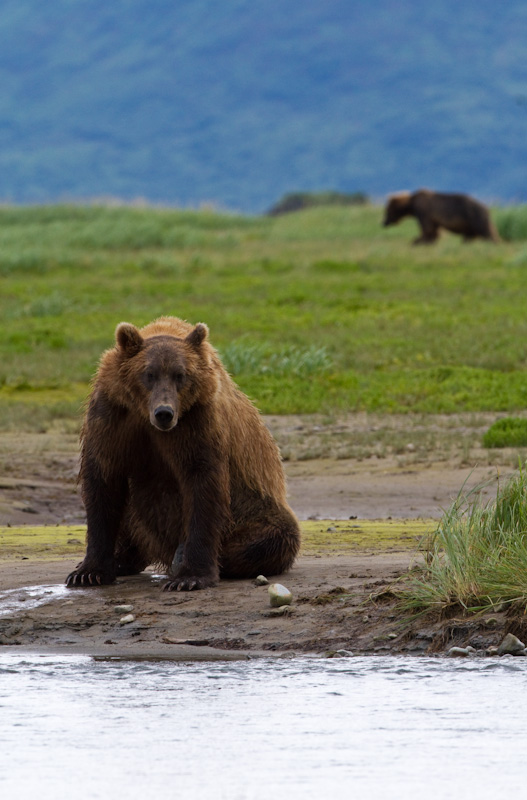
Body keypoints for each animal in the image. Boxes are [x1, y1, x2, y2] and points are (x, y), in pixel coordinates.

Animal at [65, 316, 302, 592]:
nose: (164, 413)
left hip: (256, 510)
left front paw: (189, 576)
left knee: (270, 538)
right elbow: (103, 481)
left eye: (180, 375)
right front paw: (88, 572)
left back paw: (179, 556)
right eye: (149, 374)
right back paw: (123, 558)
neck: (144, 414)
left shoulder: (197, 420)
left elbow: (202, 483)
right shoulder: (112, 415)